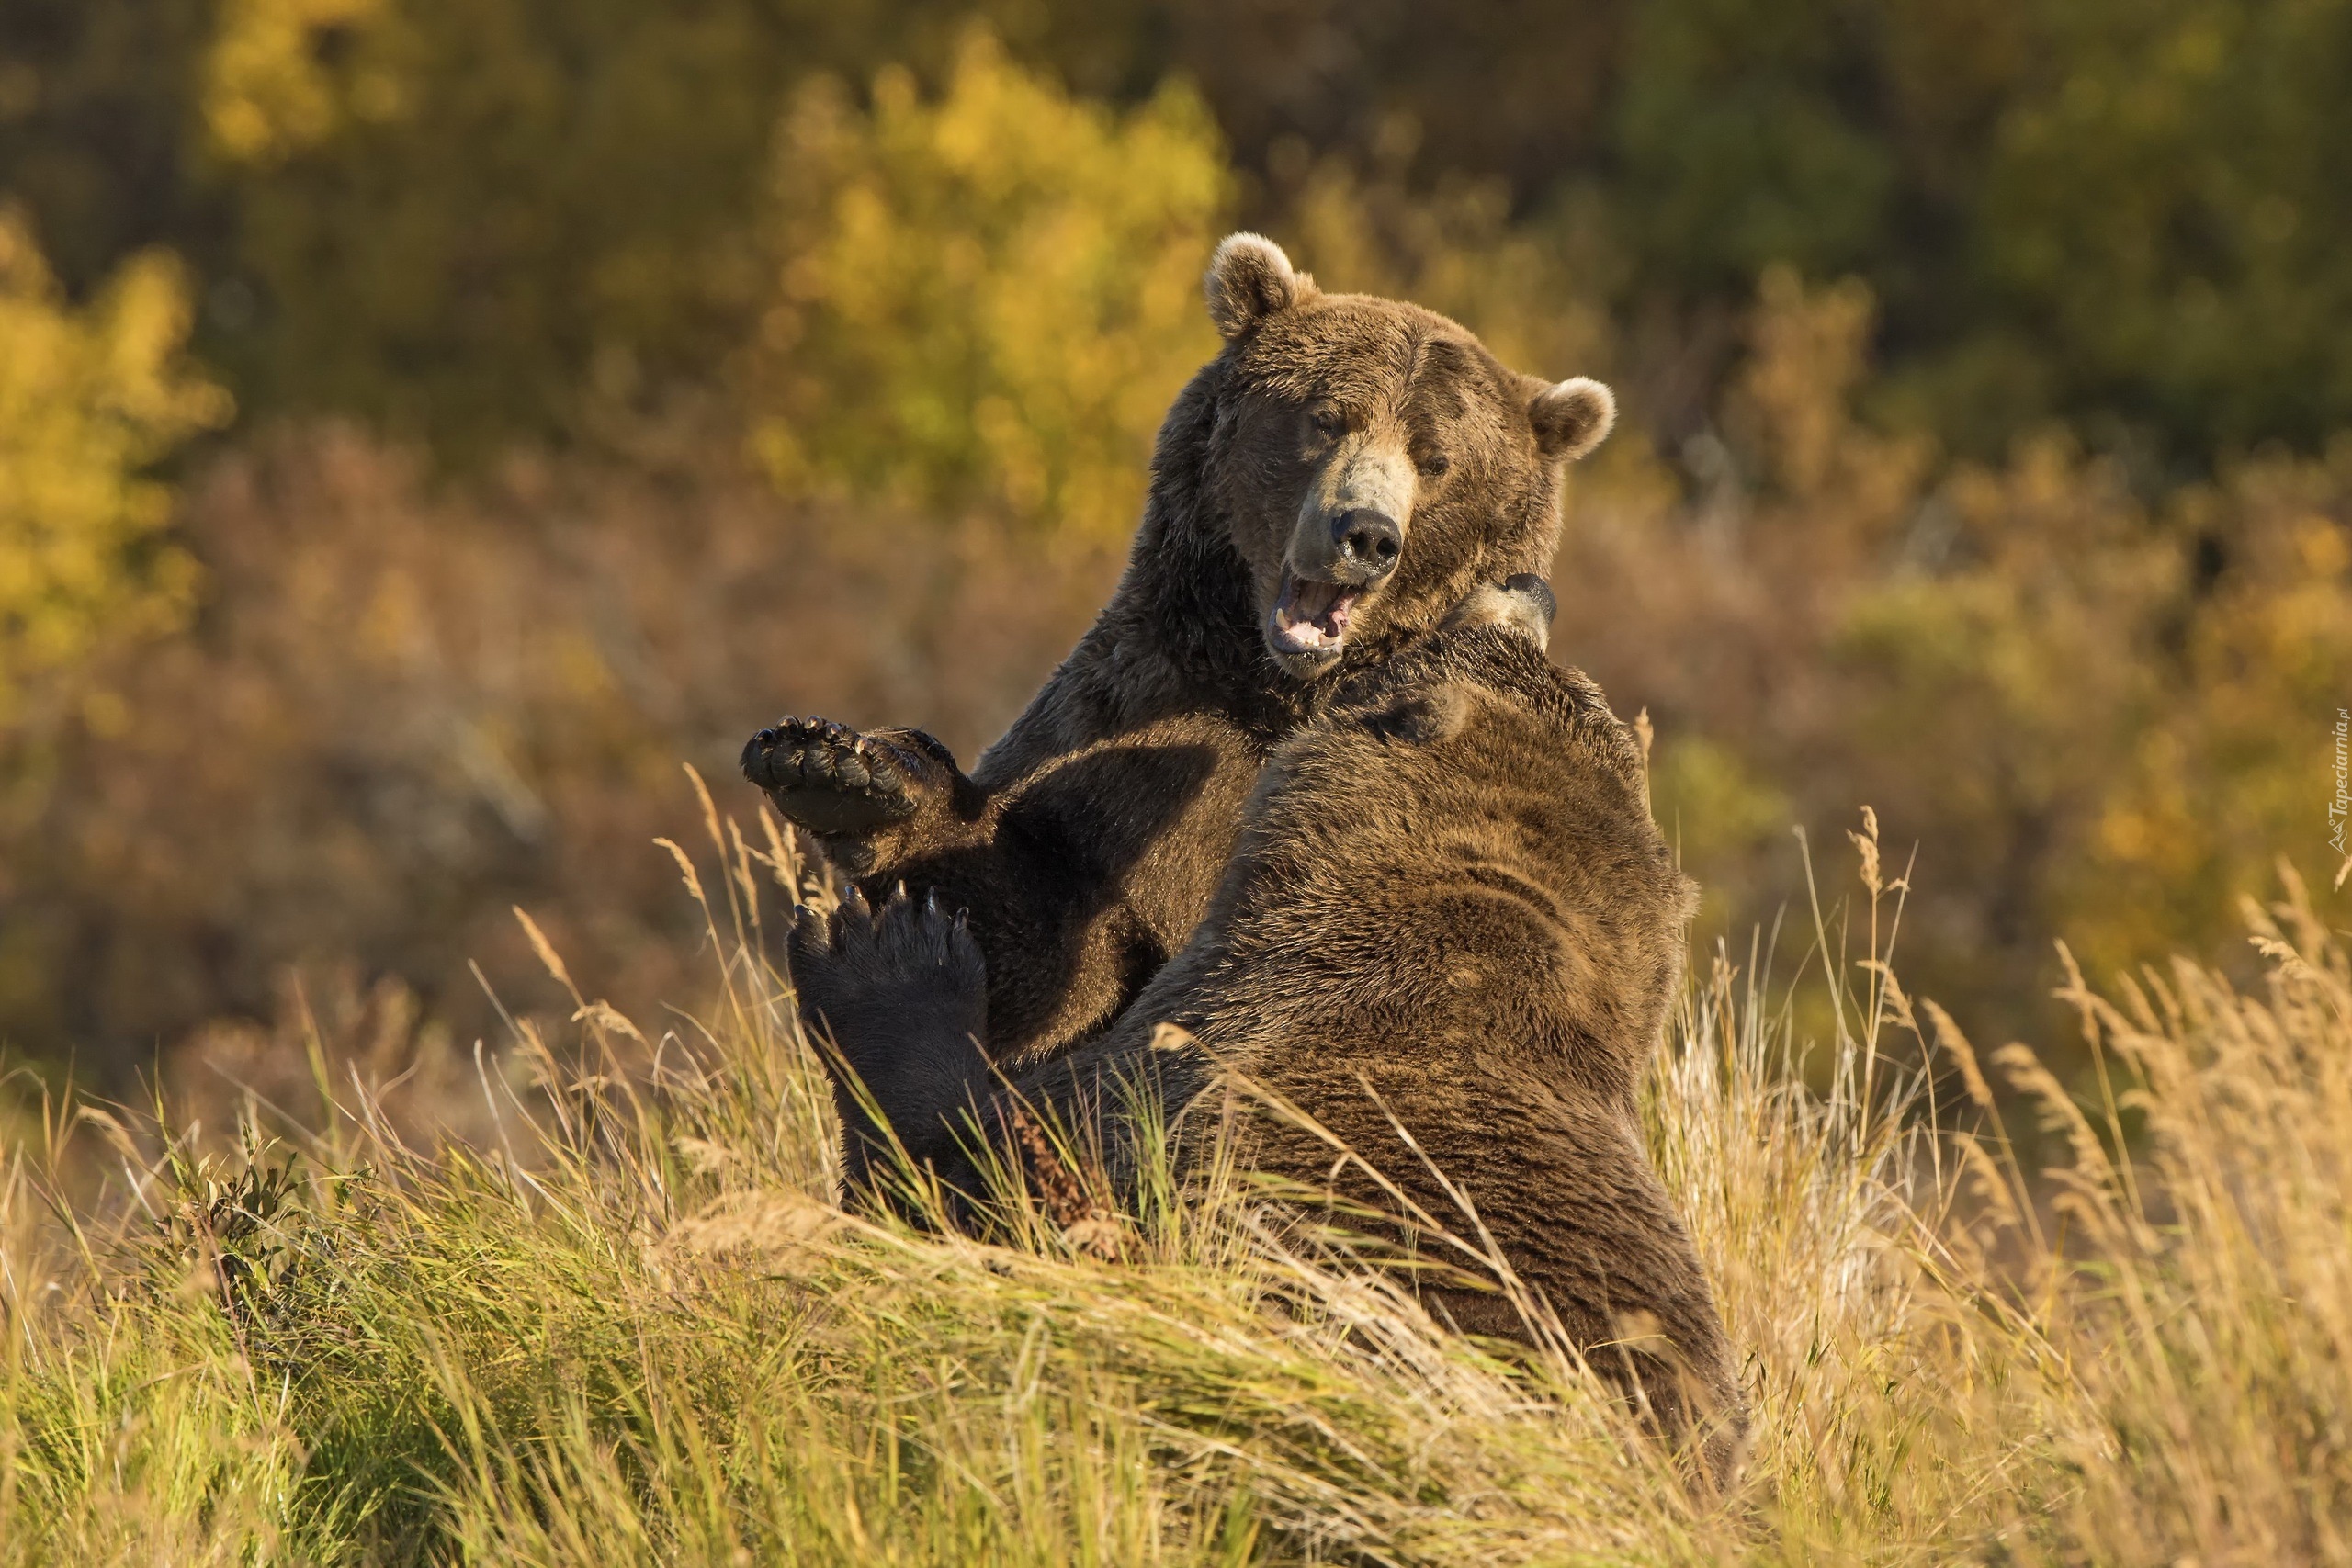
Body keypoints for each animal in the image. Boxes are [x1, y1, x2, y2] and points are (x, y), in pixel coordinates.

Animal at [742, 232, 1609, 1072]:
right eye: (1325, 418)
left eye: (1436, 459)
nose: (1363, 532)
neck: (1278, 688)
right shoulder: (1132, 726)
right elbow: (1046, 940)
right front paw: (839, 770)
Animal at [790, 582, 1749, 1495]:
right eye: (1560, 666)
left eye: (1508, 642)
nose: (1530, 586)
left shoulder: (1194, 1083)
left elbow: (964, 1180)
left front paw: (888, 950)